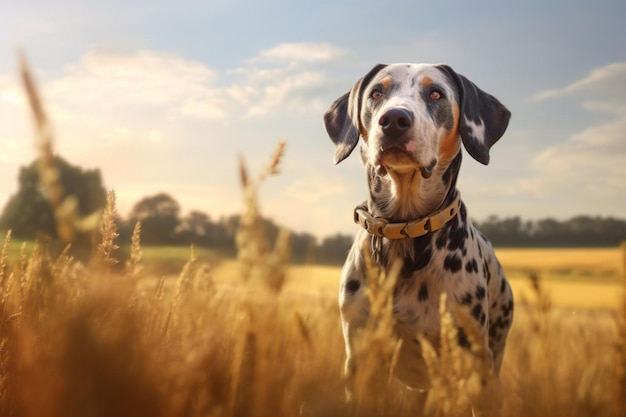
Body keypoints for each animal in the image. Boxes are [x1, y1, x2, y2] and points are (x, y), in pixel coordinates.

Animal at [322, 62, 512, 390]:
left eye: (436, 93)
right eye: (376, 93)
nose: (394, 119)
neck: (405, 229)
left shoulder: (473, 360)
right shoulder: (360, 356)